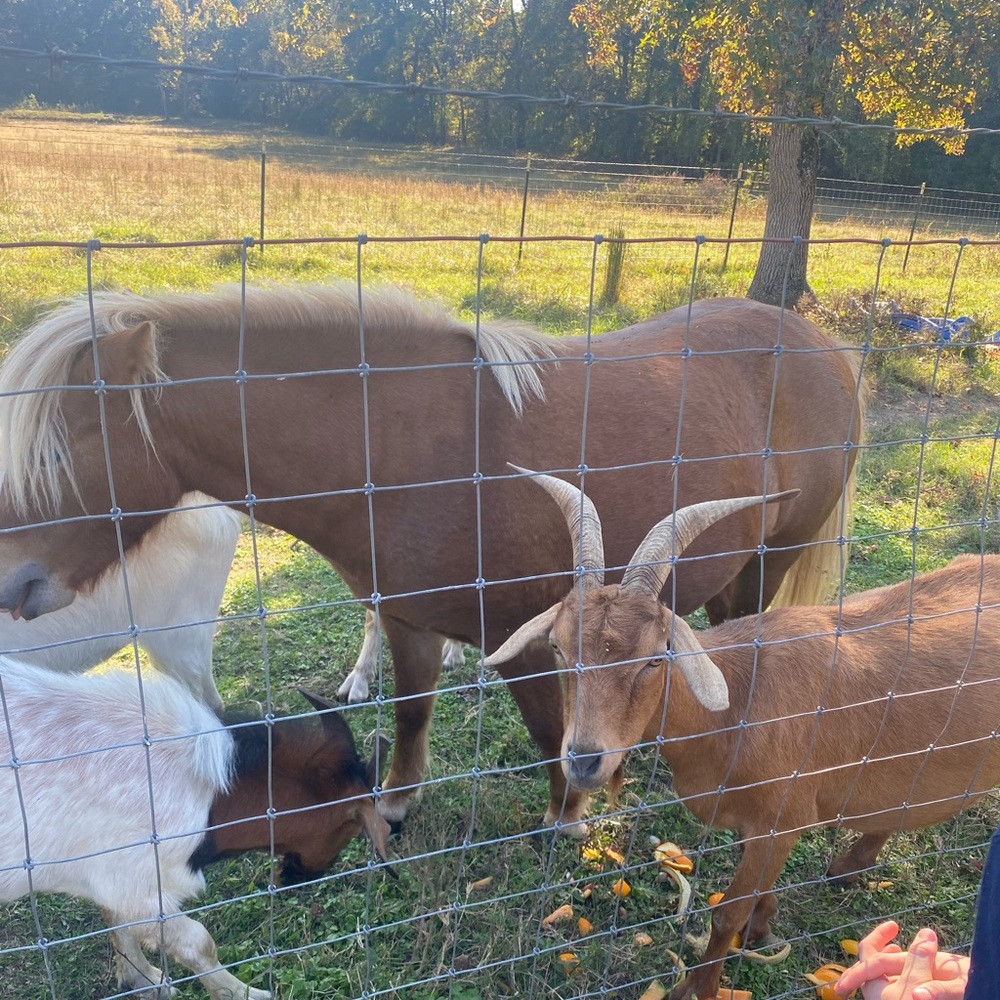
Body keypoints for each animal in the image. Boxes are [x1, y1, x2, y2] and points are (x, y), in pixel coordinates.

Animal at [0, 661, 390, 1000]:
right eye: (351, 830)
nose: (294, 878)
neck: (211, 796)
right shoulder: (137, 882)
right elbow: (197, 942)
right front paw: (245, 994)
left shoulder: (111, 881)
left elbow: (116, 920)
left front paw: (142, 980)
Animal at [485, 470, 1000, 1000]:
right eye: (558, 647)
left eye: (656, 656)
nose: (585, 761)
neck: (740, 703)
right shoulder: (758, 826)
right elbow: (752, 892)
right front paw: (762, 925)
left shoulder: (784, 816)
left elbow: (726, 912)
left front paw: (699, 986)